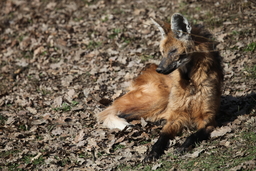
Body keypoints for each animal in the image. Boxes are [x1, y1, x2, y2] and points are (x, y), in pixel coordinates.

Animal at [96, 13, 222, 162]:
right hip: (160, 98)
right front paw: (153, 152)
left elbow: (194, 135)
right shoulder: (175, 117)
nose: (160, 70)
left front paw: (182, 146)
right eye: (162, 52)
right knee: (108, 113)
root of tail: (144, 72)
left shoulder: (209, 120)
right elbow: (162, 137)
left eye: (173, 51)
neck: (190, 82)